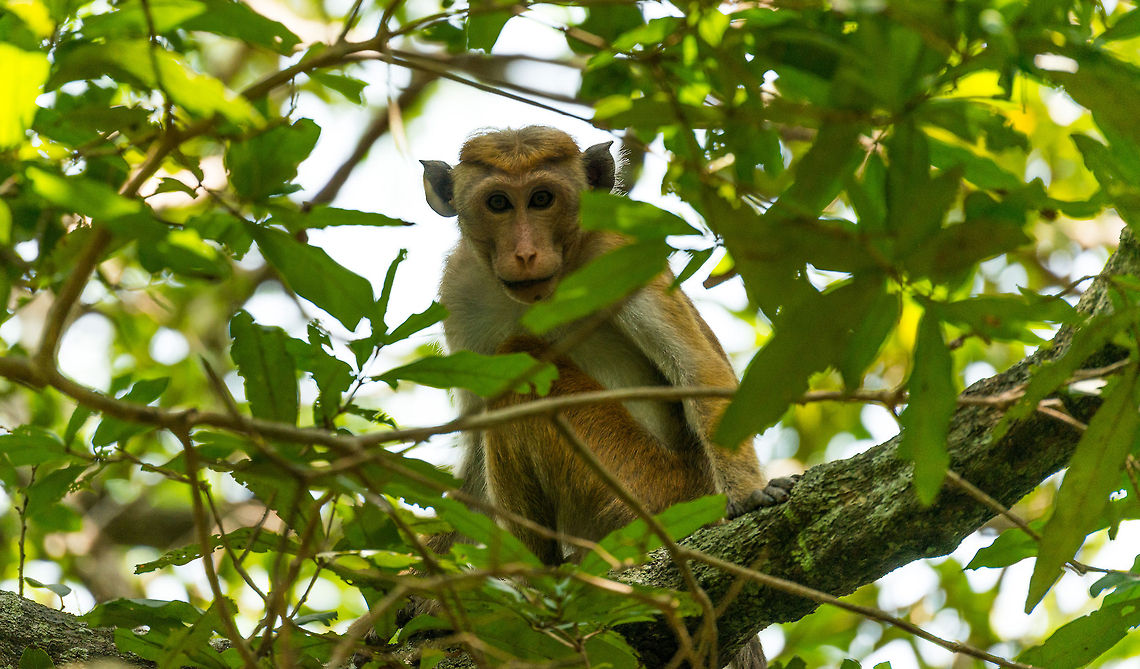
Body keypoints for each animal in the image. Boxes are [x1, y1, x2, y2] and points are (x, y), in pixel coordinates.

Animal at [417, 126, 795, 668]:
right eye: (498, 203)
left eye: (542, 199)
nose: (525, 252)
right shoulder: (463, 291)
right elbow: (472, 453)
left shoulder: (618, 252)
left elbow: (698, 371)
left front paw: (748, 494)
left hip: (645, 497)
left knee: (524, 371)